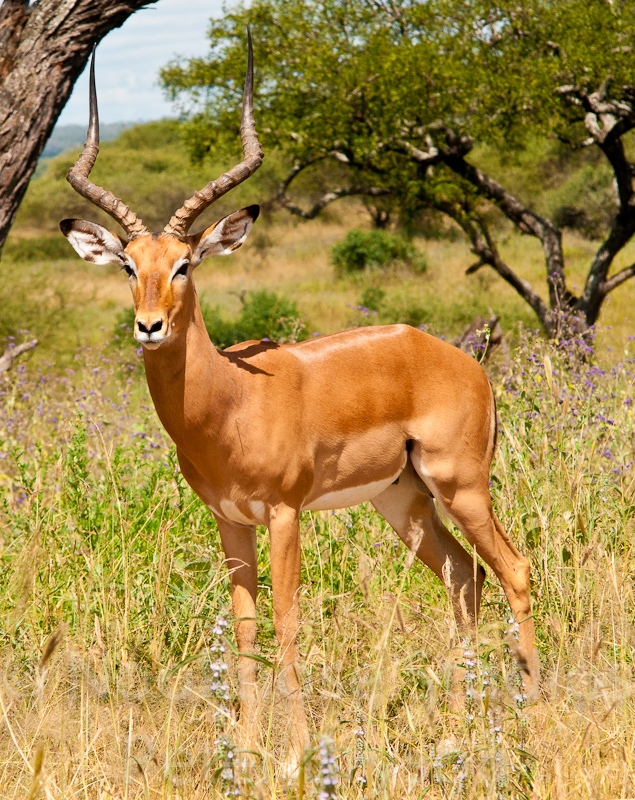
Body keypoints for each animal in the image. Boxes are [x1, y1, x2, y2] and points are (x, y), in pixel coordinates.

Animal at [60, 38, 539, 773]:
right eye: (127, 266)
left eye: (184, 265)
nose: (149, 327)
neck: (230, 402)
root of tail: (462, 361)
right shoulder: (230, 520)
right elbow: (245, 626)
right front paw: (246, 750)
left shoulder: (284, 514)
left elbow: (286, 621)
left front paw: (295, 753)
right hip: (402, 498)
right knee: (464, 577)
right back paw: (460, 732)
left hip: (460, 485)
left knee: (512, 570)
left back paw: (535, 720)